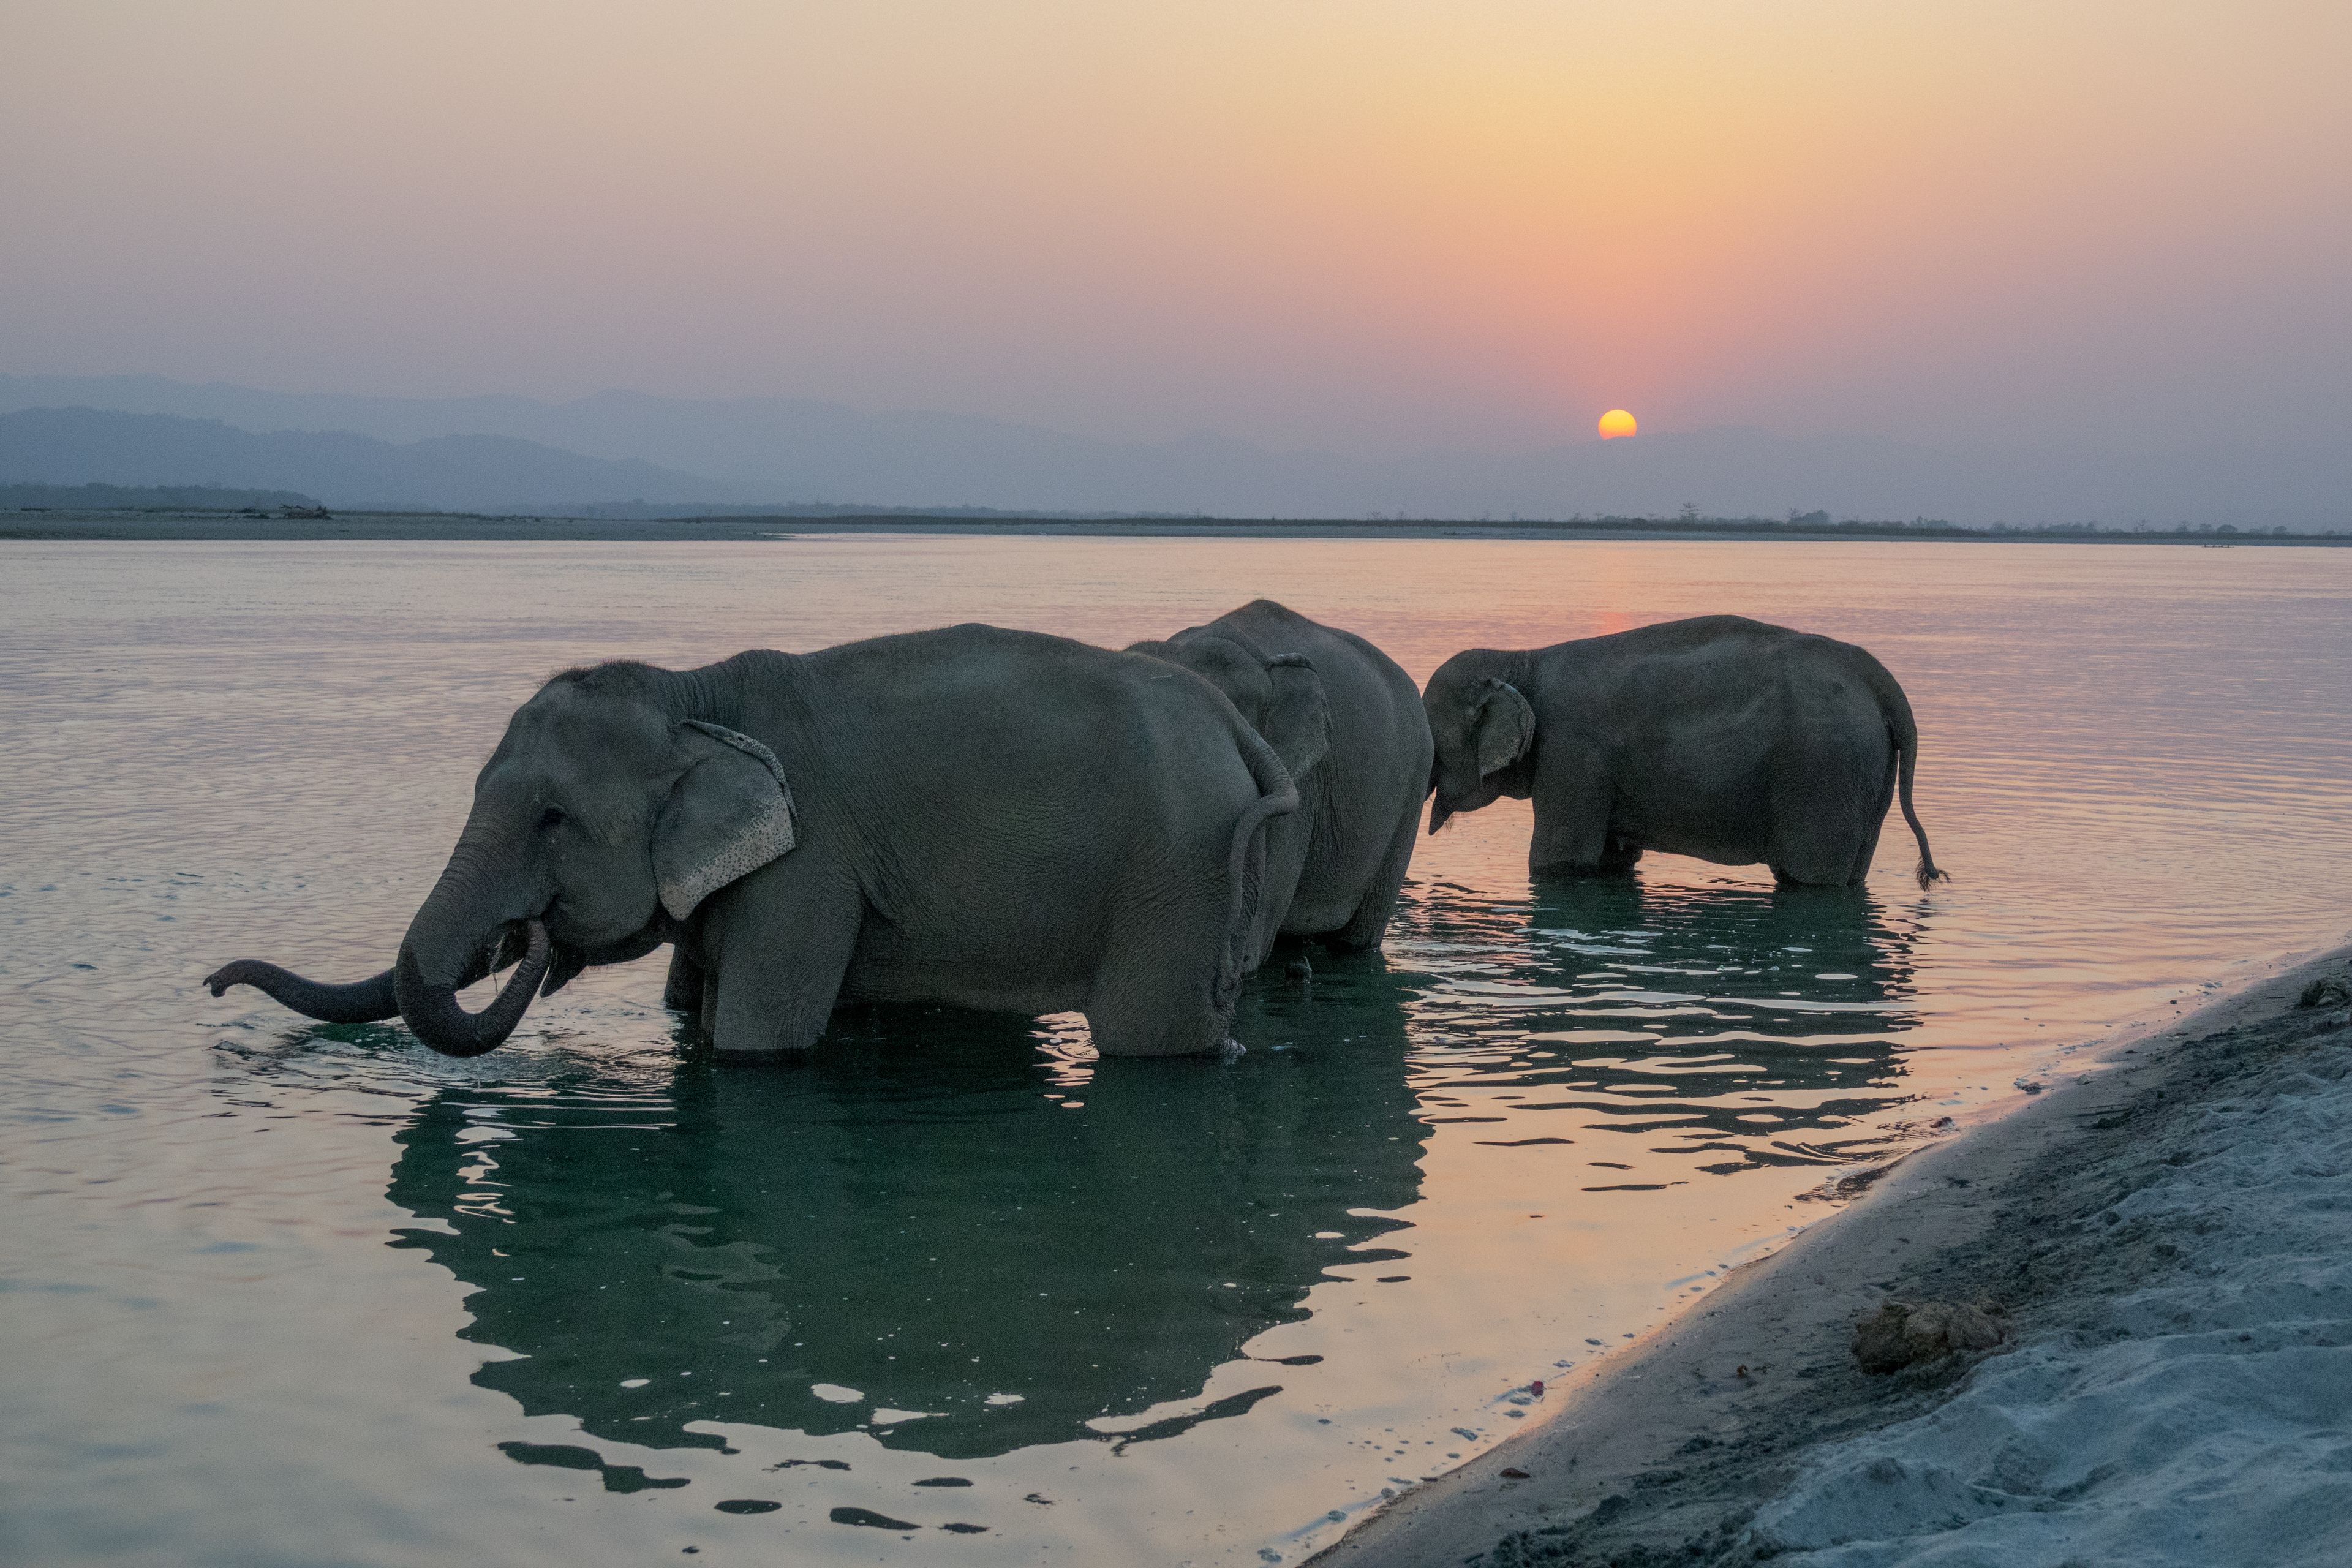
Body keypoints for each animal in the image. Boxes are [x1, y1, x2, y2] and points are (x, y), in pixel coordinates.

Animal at [207, 624, 1300, 1059]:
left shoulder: (808, 870)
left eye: (553, 820)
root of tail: (1235, 729)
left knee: (1151, 1042)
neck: (696, 696)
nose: (213, 983)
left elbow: (755, 1042)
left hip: (1175, 872)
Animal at [1423, 615, 1946, 888]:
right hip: (1865, 776)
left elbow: (1558, 860)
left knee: (1808, 877)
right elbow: (1611, 859)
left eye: (1433, 747)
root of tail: (1877, 678)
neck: (1520, 659)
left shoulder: (1573, 753)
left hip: (1824, 774)